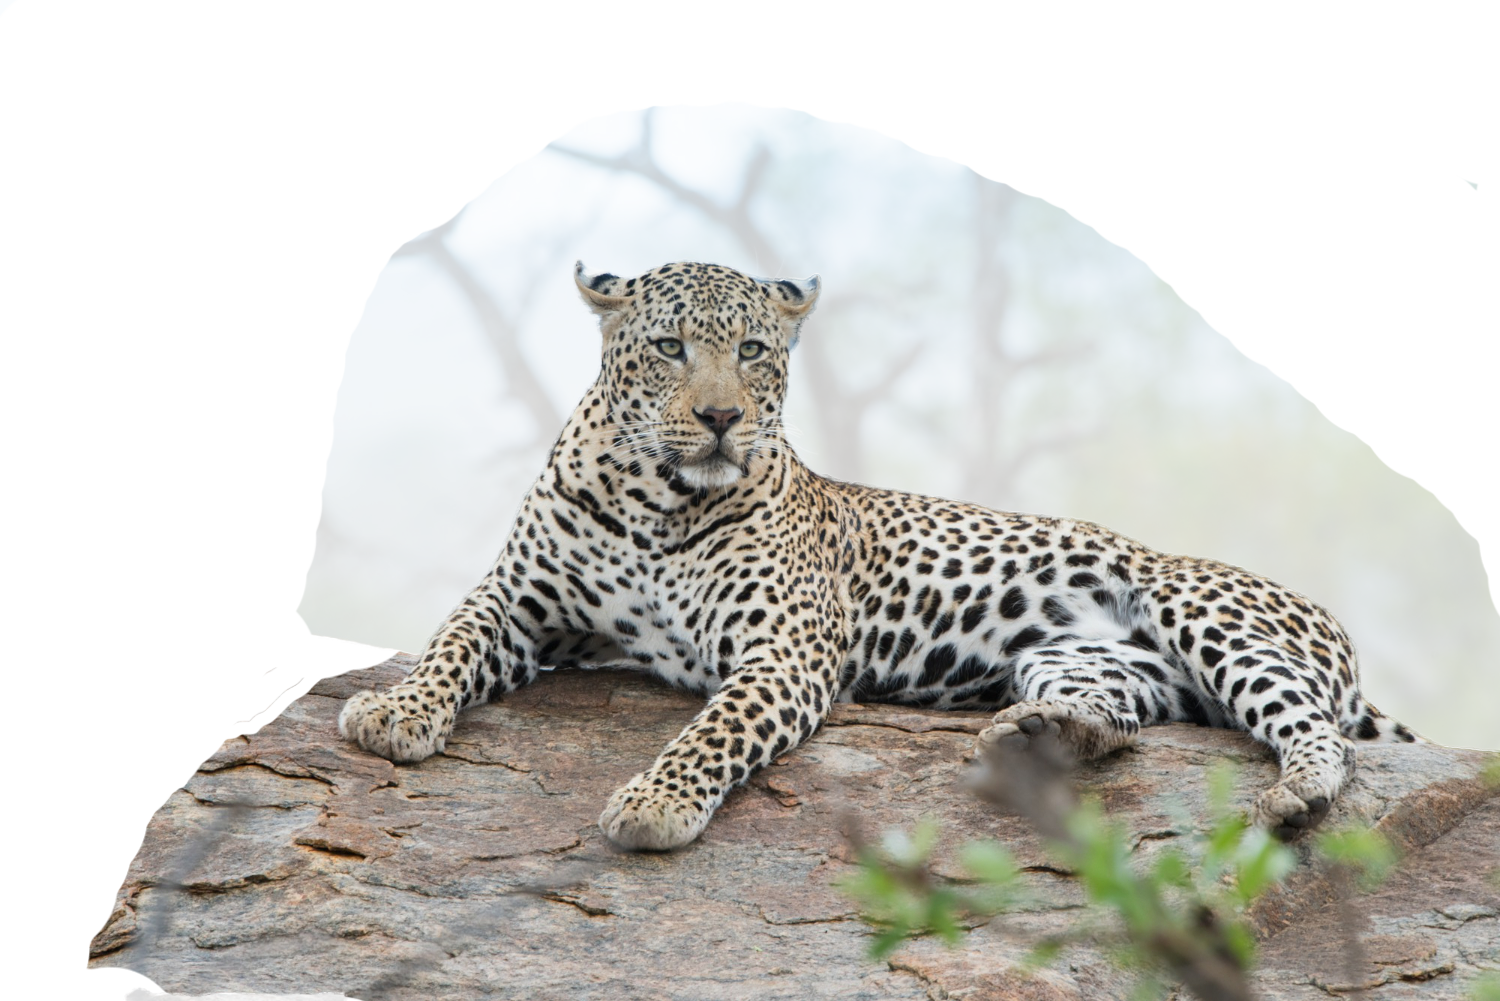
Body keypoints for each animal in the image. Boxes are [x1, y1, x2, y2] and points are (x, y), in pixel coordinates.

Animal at [339, 259, 1420, 851]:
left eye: (756, 352)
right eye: (670, 347)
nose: (722, 418)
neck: (656, 501)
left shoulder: (783, 650)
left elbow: (713, 728)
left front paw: (655, 800)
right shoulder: (519, 601)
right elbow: (450, 640)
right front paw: (393, 708)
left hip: (1205, 613)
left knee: (1313, 729)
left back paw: (1294, 791)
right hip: (1087, 660)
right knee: (1120, 721)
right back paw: (1040, 737)